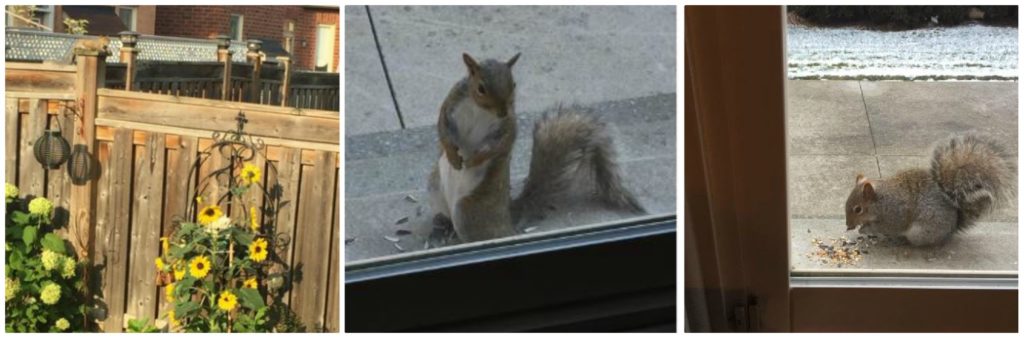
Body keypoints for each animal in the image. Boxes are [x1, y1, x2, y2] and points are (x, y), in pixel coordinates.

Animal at [428, 52, 643, 242]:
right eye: (481, 88)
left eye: (514, 84)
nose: (502, 111)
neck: (478, 108)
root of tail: (508, 219)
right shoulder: (451, 104)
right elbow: (443, 129)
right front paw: (452, 155)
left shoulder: (507, 126)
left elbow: (497, 146)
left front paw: (474, 160)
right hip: (435, 188)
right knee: (447, 217)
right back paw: (441, 227)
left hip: (468, 211)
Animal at [843, 133, 1011, 246]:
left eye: (858, 209)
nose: (848, 226)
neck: (882, 199)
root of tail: (952, 228)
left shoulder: (895, 213)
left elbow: (887, 226)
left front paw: (865, 229)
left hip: (922, 232)